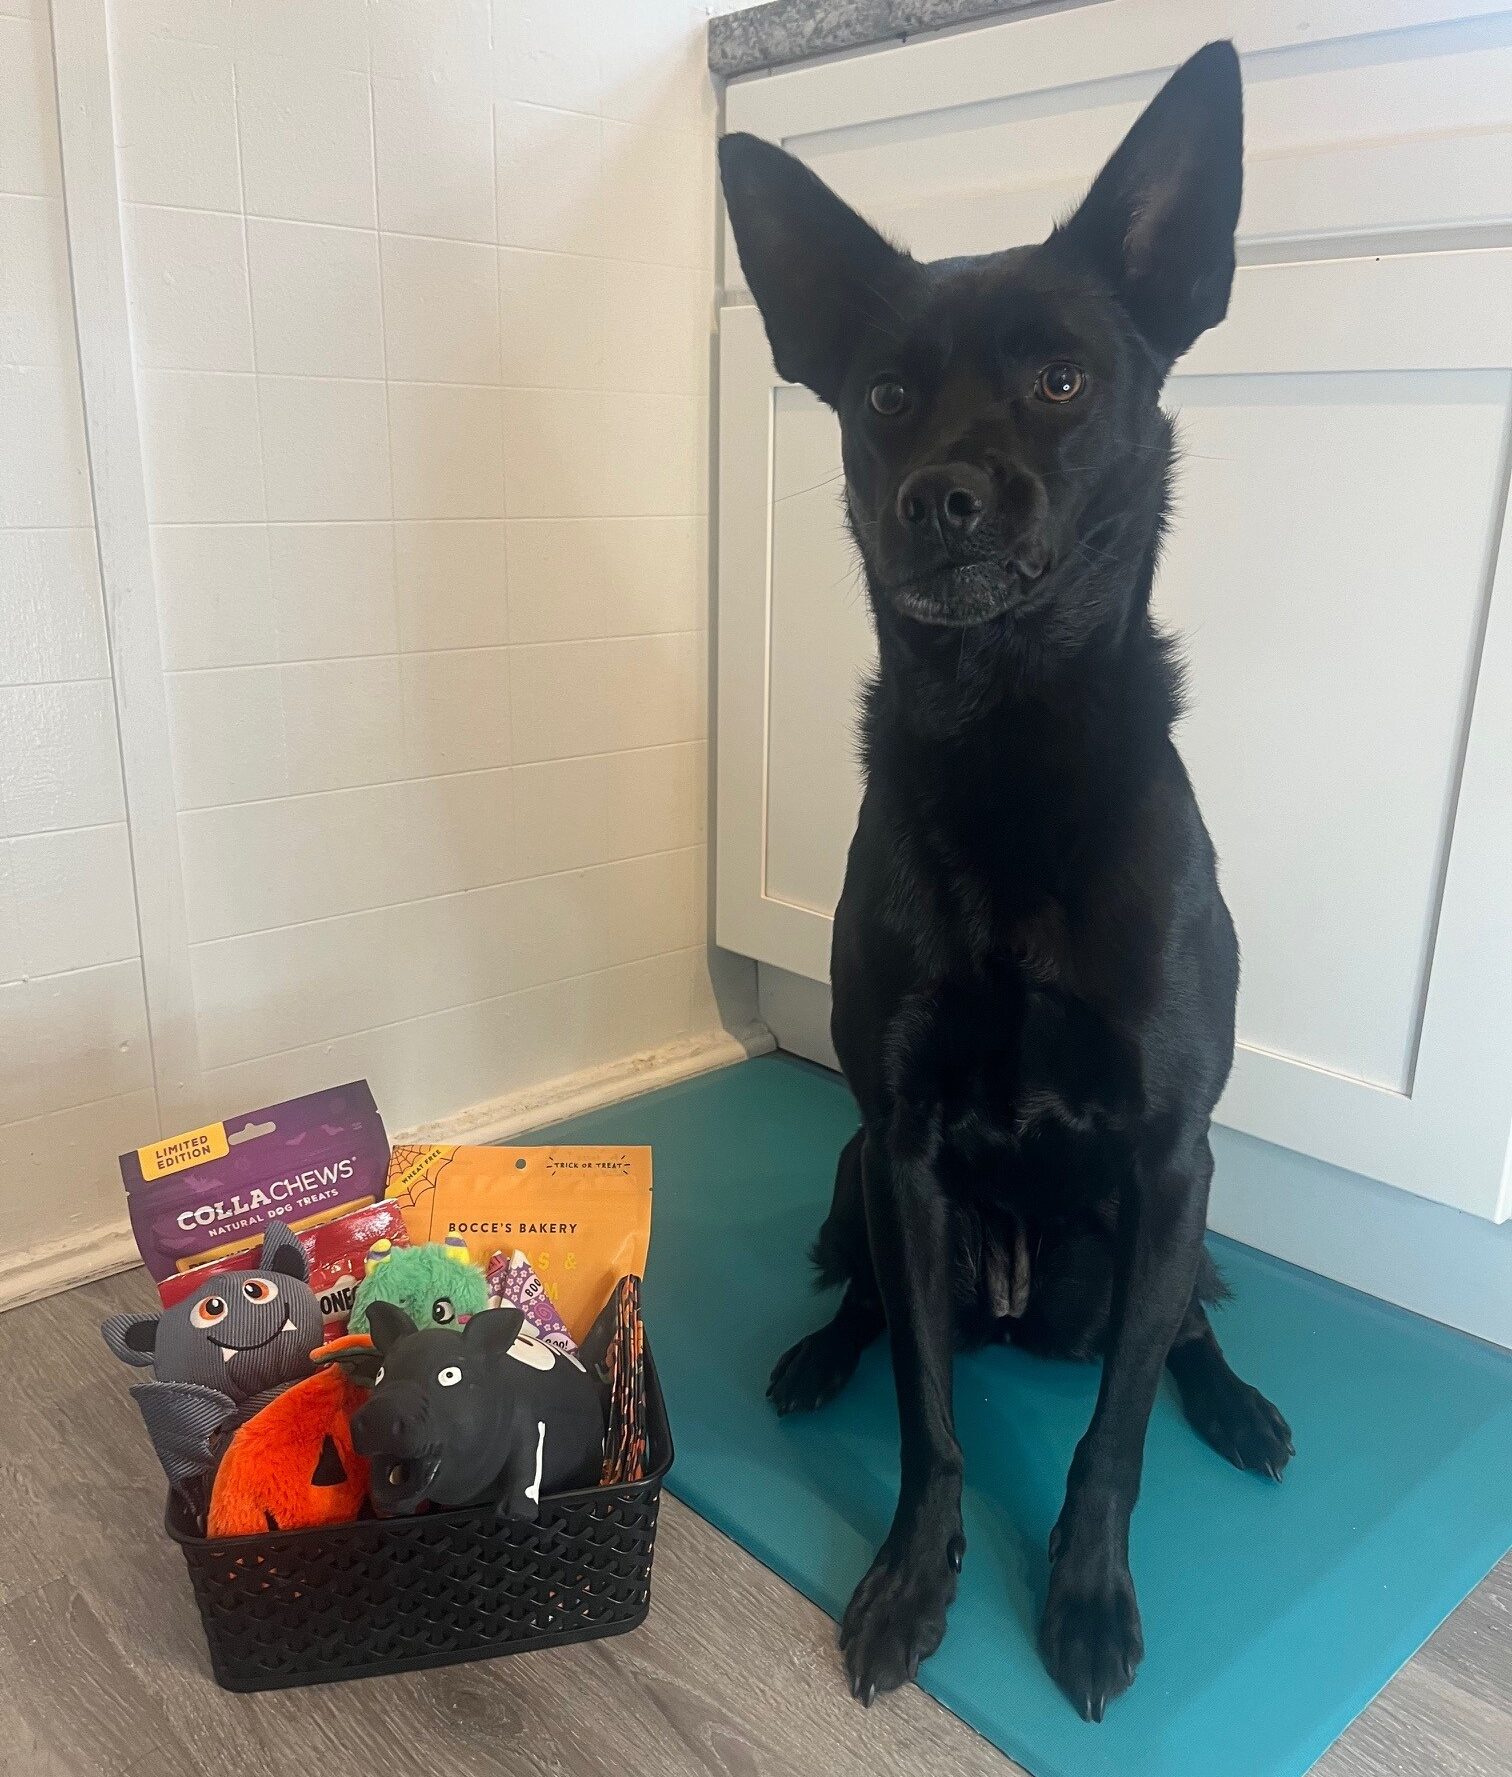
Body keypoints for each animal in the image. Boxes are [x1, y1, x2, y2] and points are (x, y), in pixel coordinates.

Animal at [728, 45, 1293, 1720]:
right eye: (884, 395)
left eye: (1061, 381)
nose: (941, 496)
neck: (1009, 744)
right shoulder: (905, 1146)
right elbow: (930, 1414)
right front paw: (914, 1582)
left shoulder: (1172, 1147)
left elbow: (1114, 1440)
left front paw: (1089, 1600)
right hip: (859, 1170)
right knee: (873, 1300)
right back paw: (816, 1354)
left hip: (1172, 1219)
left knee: (1178, 1333)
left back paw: (1240, 1407)